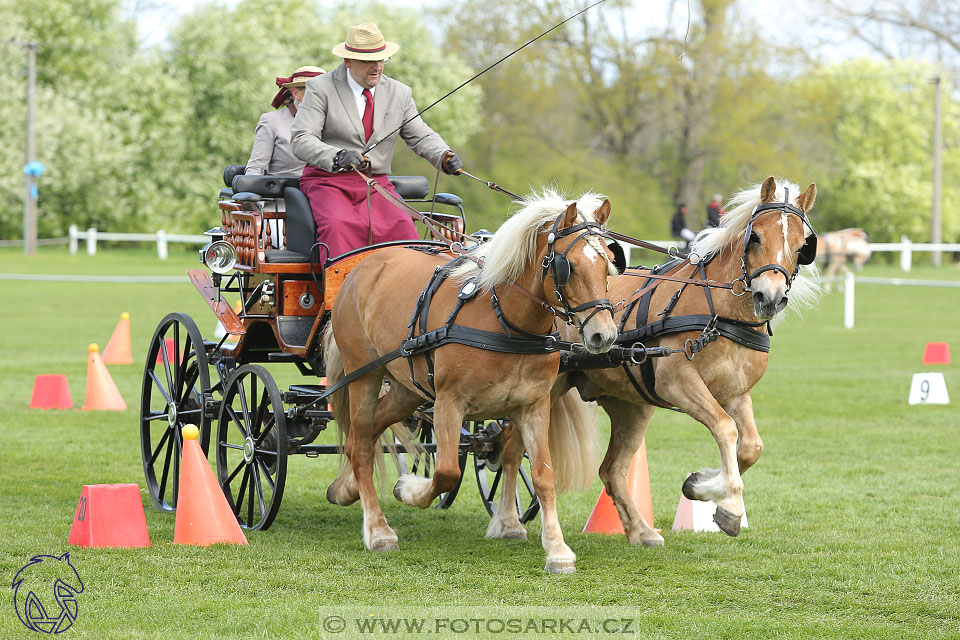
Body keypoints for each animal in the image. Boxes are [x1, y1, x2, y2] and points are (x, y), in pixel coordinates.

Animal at [322, 191, 620, 576]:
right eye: (568, 266)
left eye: (609, 263)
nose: (603, 335)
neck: (506, 322)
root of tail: (363, 267)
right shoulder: (449, 404)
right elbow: (447, 472)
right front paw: (409, 489)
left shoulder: (534, 406)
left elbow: (543, 475)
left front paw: (556, 550)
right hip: (365, 375)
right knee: (359, 444)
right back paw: (378, 530)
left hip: (405, 388)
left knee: (365, 435)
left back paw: (345, 489)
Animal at [496, 178, 816, 548]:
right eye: (756, 237)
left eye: (801, 247)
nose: (770, 297)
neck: (720, 311)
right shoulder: (678, 382)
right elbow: (726, 429)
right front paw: (730, 504)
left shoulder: (736, 393)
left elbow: (750, 446)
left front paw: (702, 485)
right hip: (540, 393)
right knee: (510, 449)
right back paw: (508, 523)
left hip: (630, 405)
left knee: (612, 469)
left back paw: (641, 530)